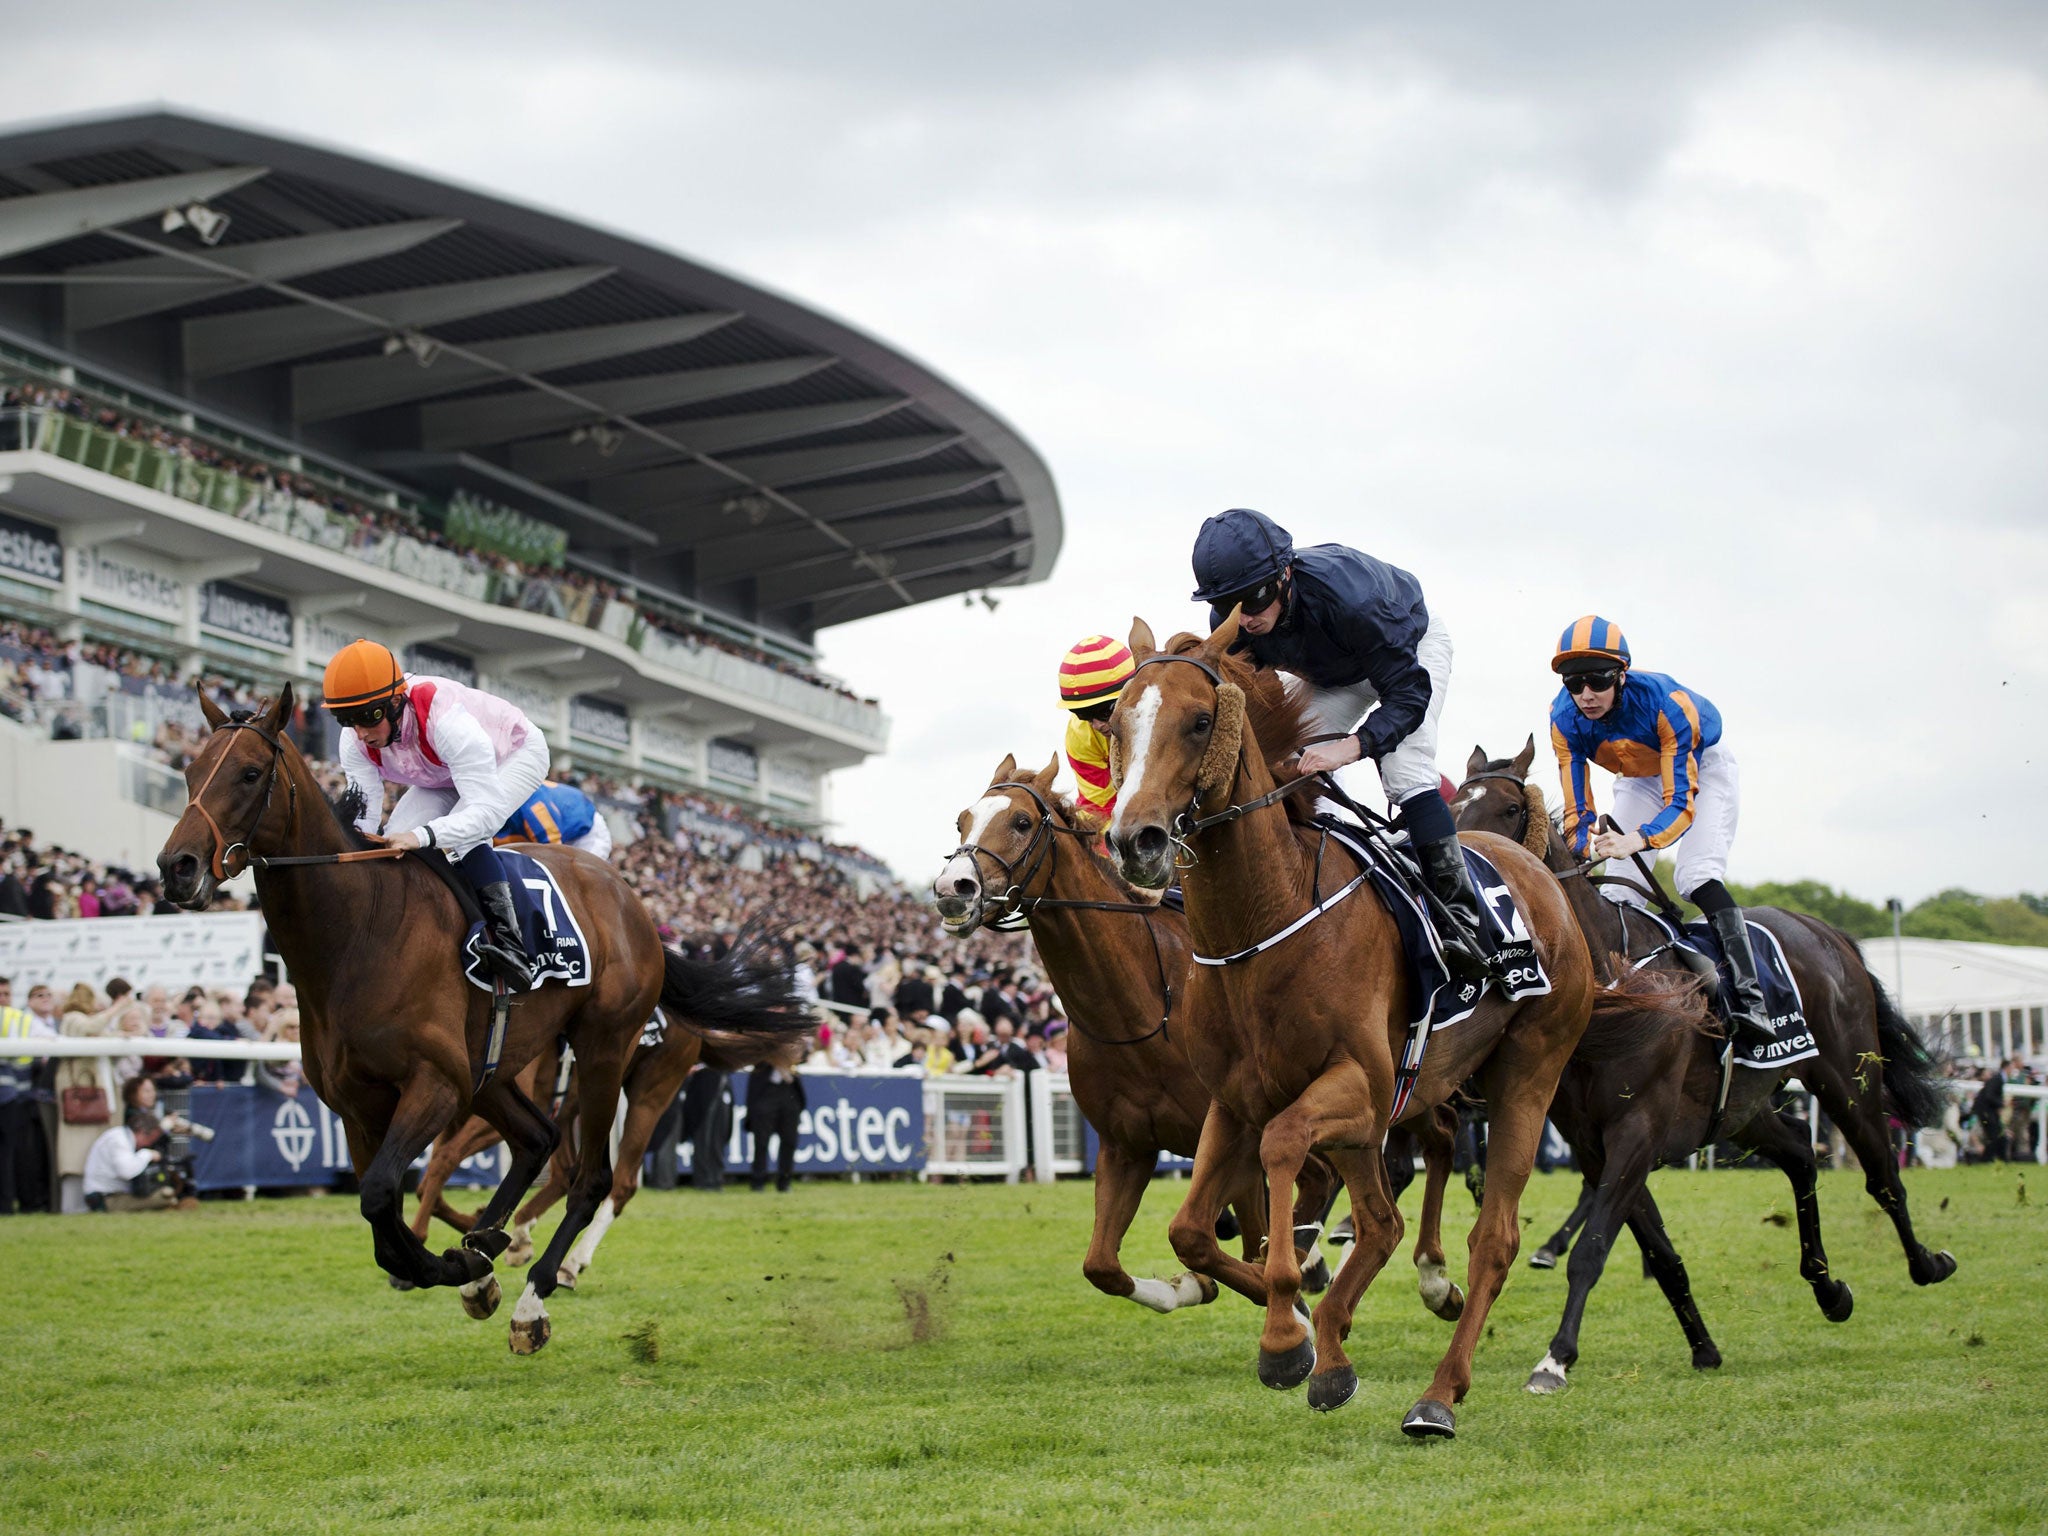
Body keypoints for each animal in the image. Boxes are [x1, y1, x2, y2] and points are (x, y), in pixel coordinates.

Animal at [155, 692, 811, 1351]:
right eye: (189, 772)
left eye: (249, 774)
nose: (176, 866)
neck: (360, 934)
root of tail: (638, 909)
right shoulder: (360, 1105)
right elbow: (384, 1210)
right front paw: (467, 1261)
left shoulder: (436, 1084)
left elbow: (386, 1193)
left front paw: (456, 1264)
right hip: (495, 1076)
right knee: (540, 1143)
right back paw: (495, 1245)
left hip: (613, 1059)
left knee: (599, 1179)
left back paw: (538, 1291)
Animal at [937, 757, 1466, 1327]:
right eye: (961, 821)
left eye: (1020, 822)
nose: (953, 888)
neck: (1140, 1010)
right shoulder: (1126, 1145)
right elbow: (1102, 1264)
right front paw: (1193, 1286)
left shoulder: (1241, 1140)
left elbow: (1253, 1237)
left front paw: (1288, 1309)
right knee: (1421, 1142)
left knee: (1418, 1144)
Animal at [1105, 618, 1679, 1441]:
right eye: (1115, 725)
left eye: (1201, 721)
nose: (1136, 841)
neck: (1267, 923)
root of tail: (1549, 885)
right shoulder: (1236, 1099)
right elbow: (1193, 1230)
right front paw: (1304, 1336)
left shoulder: (1361, 1086)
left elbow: (1285, 1150)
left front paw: (1285, 1338)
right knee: (1382, 1221)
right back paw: (1346, 1341)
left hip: (1526, 1075)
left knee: (1491, 1237)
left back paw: (1438, 1394)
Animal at [1458, 741, 1949, 1400]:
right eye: (1449, 807)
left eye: (1509, 810)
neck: (1612, 987)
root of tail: (1826, 931)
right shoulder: (1593, 1142)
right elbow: (1661, 1255)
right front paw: (1704, 1347)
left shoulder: (1637, 1131)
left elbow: (1593, 1248)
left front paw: (1555, 1359)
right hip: (1742, 1109)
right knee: (1801, 1151)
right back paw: (1828, 1289)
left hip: (1847, 1079)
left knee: (1883, 1176)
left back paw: (1926, 1263)